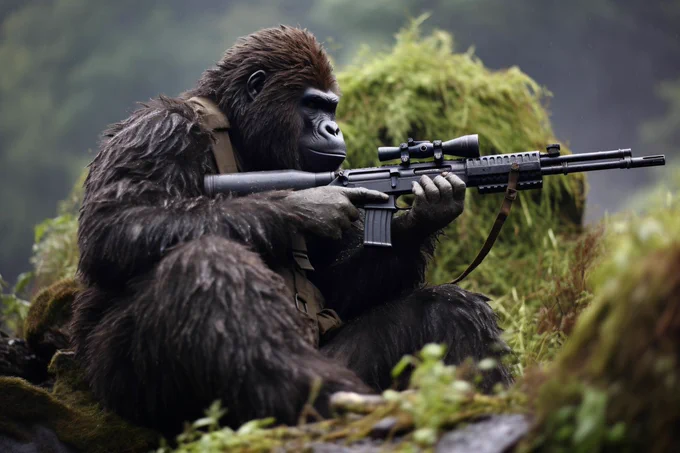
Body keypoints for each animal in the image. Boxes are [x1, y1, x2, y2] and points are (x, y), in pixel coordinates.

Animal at [71, 25, 512, 437]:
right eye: (313, 104)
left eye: (330, 106)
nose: (333, 128)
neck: (243, 138)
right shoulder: (160, 129)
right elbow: (112, 225)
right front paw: (305, 207)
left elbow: (340, 288)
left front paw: (426, 213)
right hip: (128, 385)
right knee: (206, 263)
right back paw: (335, 403)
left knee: (450, 308)